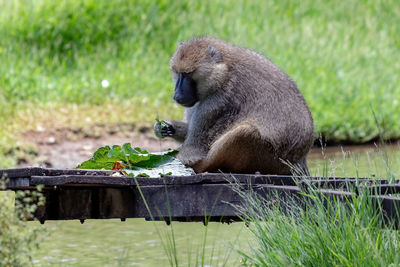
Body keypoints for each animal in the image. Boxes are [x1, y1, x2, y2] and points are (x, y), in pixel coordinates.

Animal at [155, 37, 314, 176]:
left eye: (187, 74)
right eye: (178, 74)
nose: (177, 95)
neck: (223, 73)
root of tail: (300, 161)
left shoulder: (217, 103)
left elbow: (192, 153)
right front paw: (166, 127)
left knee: (245, 132)